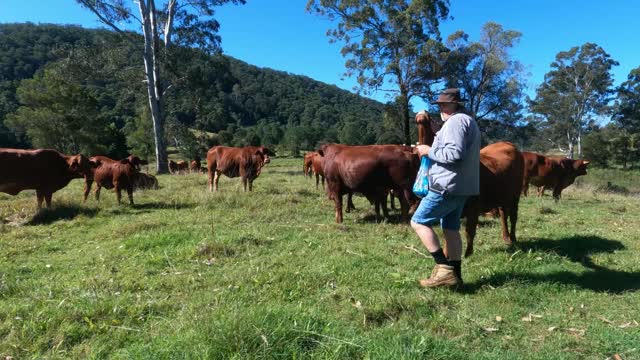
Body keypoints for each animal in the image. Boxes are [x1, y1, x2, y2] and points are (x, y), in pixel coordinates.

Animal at [416, 114, 524, 258]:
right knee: (503, 214)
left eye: (435, 122)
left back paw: (513, 238)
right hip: (502, 195)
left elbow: (469, 230)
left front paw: (468, 253)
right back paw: (506, 237)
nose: (421, 116)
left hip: (515, 195)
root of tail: (507, 143)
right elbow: (447, 235)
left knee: (513, 216)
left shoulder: (474, 207)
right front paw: (448, 253)